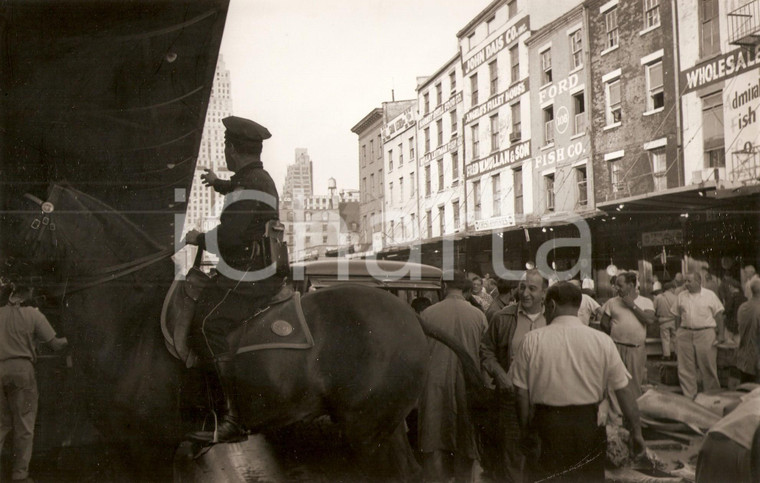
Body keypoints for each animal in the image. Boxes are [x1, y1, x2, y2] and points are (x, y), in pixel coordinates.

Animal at [2, 184, 484, 480]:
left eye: (24, 224)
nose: (6, 288)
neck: (133, 325)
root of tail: (412, 314)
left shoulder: (148, 446)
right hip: (384, 428)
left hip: (367, 430)